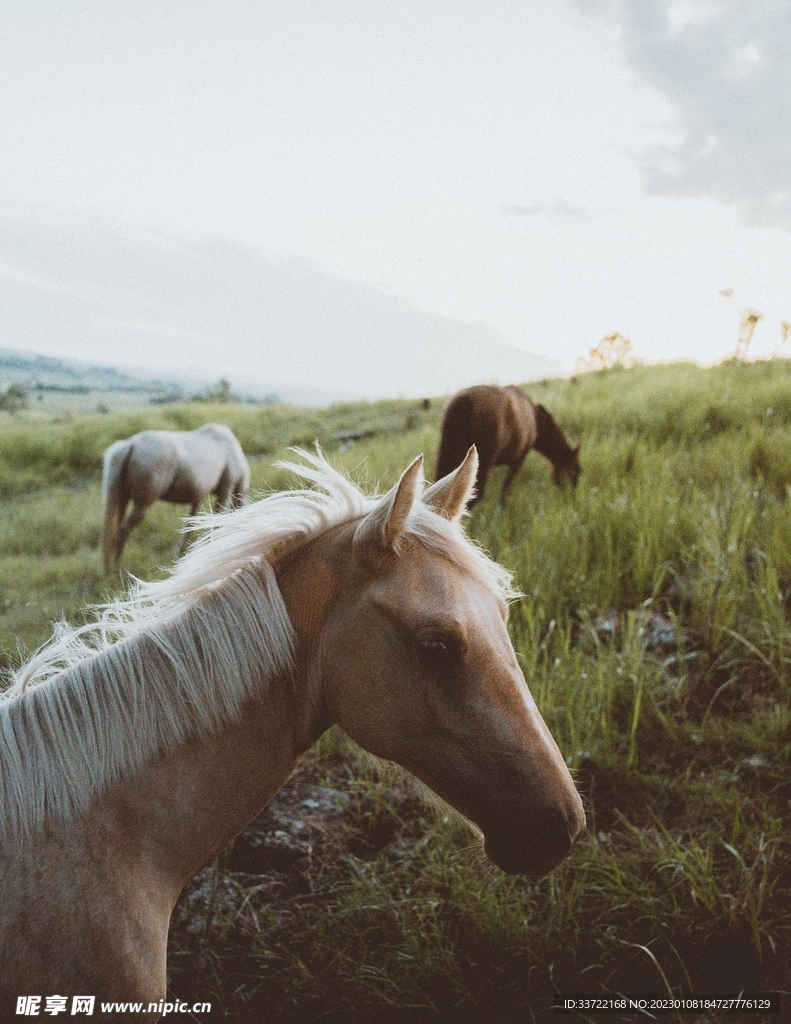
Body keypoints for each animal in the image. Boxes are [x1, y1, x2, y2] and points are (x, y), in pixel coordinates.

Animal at [101, 423, 250, 570]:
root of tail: (130, 445)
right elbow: (216, 519)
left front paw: (181, 553)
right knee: (123, 530)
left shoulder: (198, 498)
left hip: (123, 500)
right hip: (142, 504)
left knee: (117, 528)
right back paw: (117, 568)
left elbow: (190, 524)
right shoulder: (226, 490)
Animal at [436, 385, 580, 505]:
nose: (572, 496)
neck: (535, 418)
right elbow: (506, 490)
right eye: (575, 471)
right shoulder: (518, 461)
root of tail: (466, 400)